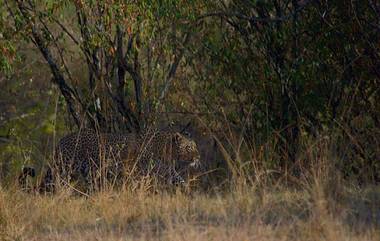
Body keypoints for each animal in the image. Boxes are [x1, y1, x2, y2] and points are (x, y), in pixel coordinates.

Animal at [18, 128, 202, 192]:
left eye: (195, 146)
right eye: (189, 148)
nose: (197, 157)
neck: (167, 150)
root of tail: (61, 141)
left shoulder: (166, 170)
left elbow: (178, 179)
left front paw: (189, 191)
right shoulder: (144, 169)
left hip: (83, 172)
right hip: (66, 168)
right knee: (55, 184)